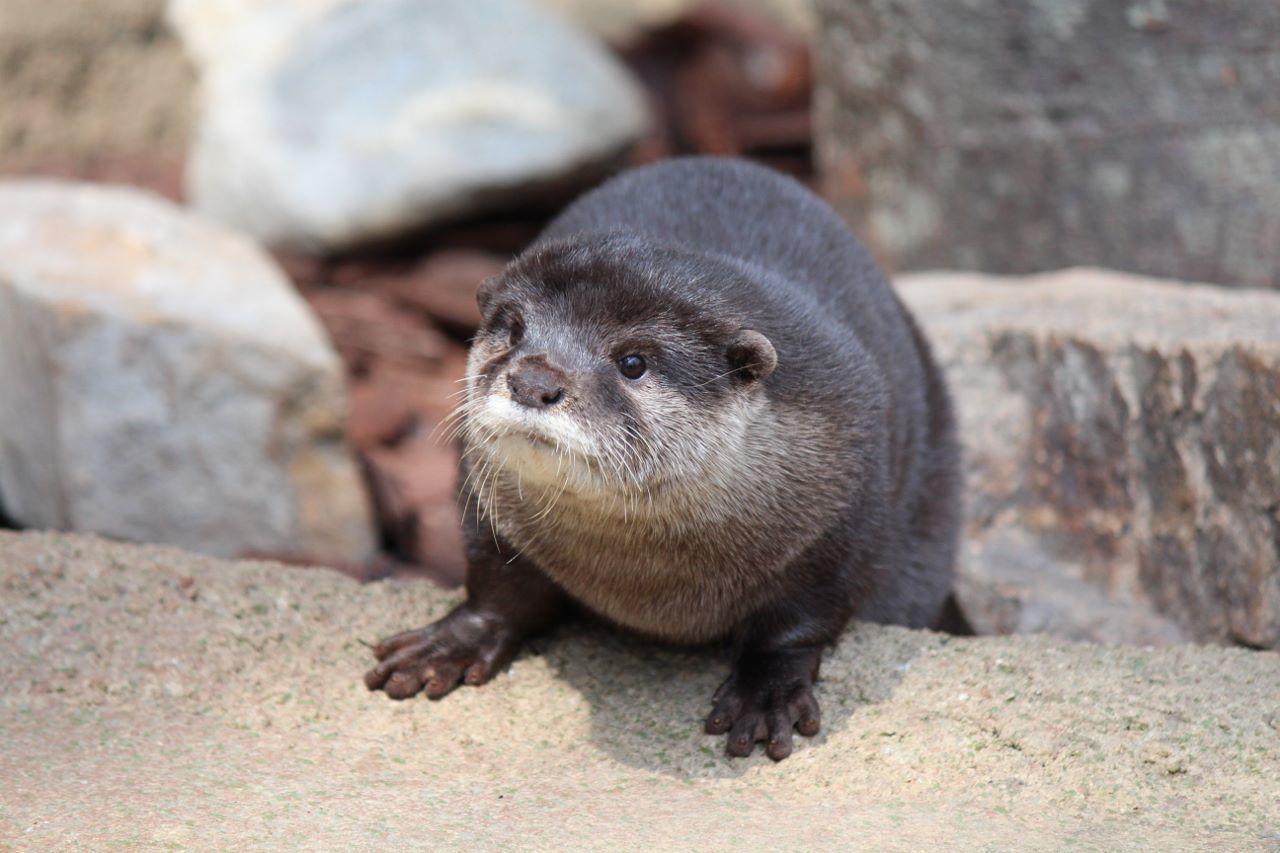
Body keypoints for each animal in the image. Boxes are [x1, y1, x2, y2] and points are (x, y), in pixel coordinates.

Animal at [360, 157, 962, 758]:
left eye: (632, 362)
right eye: (513, 330)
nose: (533, 381)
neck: (649, 574)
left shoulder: (844, 507)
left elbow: (802, 620)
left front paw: (767, 694)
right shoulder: (486, 499)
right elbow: (496, 584)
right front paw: (452, 642)